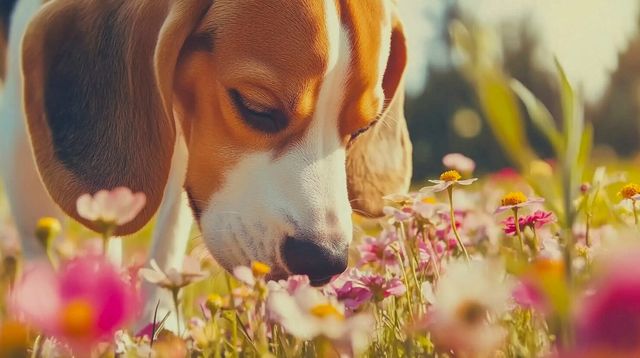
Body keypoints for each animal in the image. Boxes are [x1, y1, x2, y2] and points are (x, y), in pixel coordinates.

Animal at [0, 0, 410, 324]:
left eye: (363, 129)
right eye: (256, 108)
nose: (324, 261)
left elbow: (165, 242)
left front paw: (157, 327)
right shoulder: (18, 138)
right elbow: (44, 247)